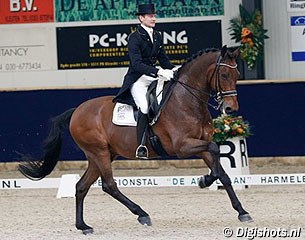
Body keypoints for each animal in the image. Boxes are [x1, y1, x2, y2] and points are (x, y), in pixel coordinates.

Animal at [18, 45, 252, 234]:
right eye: (223, 74)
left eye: (238, 74)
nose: (230, 109)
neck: (187, 101)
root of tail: (76, 111)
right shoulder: (182, 146)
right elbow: (215, 150)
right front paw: (205, 180)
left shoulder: (199, 146)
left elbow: (223, 173)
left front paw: (241, 210)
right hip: (99, 153)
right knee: (109, 185)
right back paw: (142, 214)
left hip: (101, 155)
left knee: (81, 186)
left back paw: (83, 226)